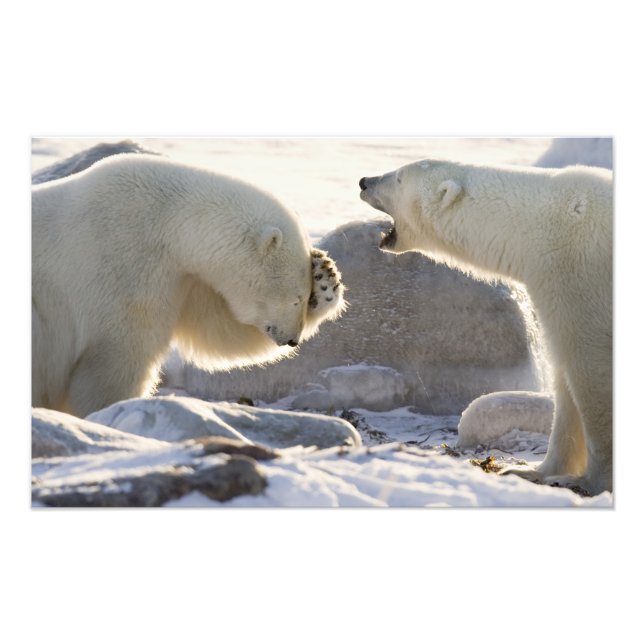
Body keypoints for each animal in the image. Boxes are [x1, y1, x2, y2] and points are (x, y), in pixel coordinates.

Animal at [32, 154, 345, 418]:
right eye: (295, 298)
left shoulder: (183, 277)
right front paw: (112, 410)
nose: (292, 339)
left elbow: (219, 329)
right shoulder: (122, 264)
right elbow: (117, 355)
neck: (166, 221)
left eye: (305, 297)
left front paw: (325, 277)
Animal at [359, 159, 613, 495]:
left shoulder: (580, 274)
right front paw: (534, 472)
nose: (364, 181)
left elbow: (593, 371)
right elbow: (565, 380)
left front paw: (593, 481)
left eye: (398, 178)